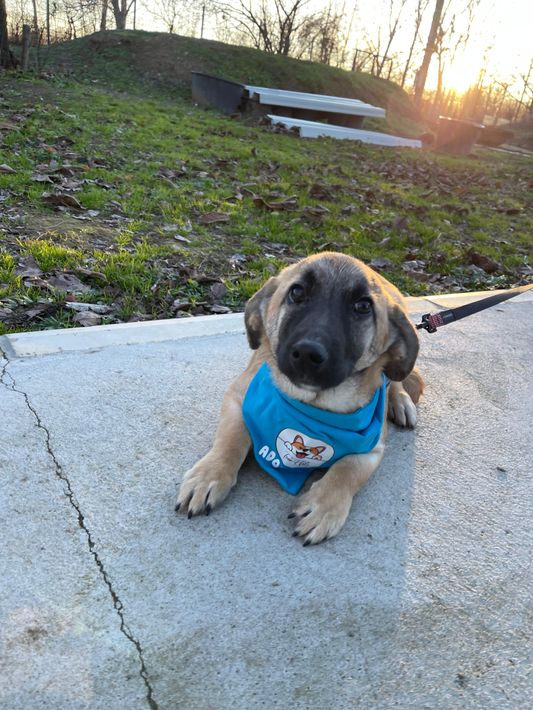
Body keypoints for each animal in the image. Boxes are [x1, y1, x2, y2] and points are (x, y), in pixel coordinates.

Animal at [175, 252, 424, 545]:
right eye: (296, 292)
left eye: (363, 306)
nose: (308, 353)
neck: (312, 405)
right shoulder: (237, 397)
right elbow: (230, 440)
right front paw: (208, 476)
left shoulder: (372, 448)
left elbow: (347, 470)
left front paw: (323, 507)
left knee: (394, 381)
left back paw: (401, 402)